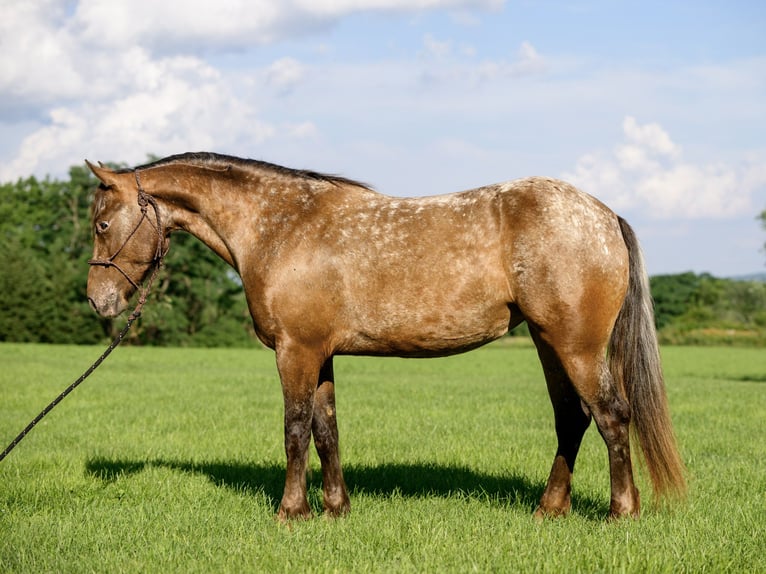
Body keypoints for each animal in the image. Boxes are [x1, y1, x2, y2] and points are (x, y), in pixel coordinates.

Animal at [85, 152, 685, 520]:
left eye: (101, 223)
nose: (98, 300)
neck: (281, 226)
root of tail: (604, 215)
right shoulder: (320, 354)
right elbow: (326, 429)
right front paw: (335, 508)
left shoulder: (295, 352)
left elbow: (295, 430)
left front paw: (291, 511)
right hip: (548, 343)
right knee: (572, 420)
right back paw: (550, 508)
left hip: (576, 346)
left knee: (611, 415)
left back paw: (620, 512)